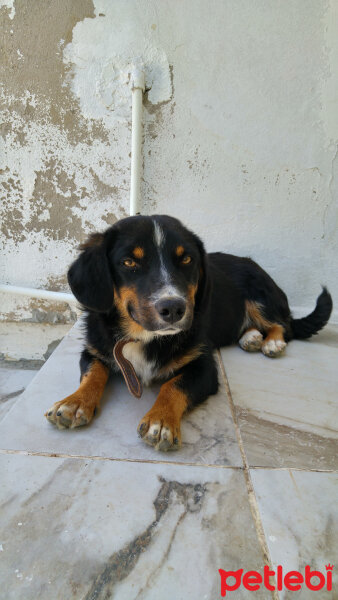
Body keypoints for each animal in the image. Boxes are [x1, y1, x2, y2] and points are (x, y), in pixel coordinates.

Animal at [45, 214, 332, 450]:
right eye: (128, 262)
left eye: (186, 259)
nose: (173, 308)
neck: (145, 337)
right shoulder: (94, 350)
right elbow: (93, 373)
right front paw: (75, 403)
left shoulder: (204, 366)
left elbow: (174, 385)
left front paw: (161, 421)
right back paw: (251, 337)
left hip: (260, 295)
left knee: (284, 325)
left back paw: (271, 343)